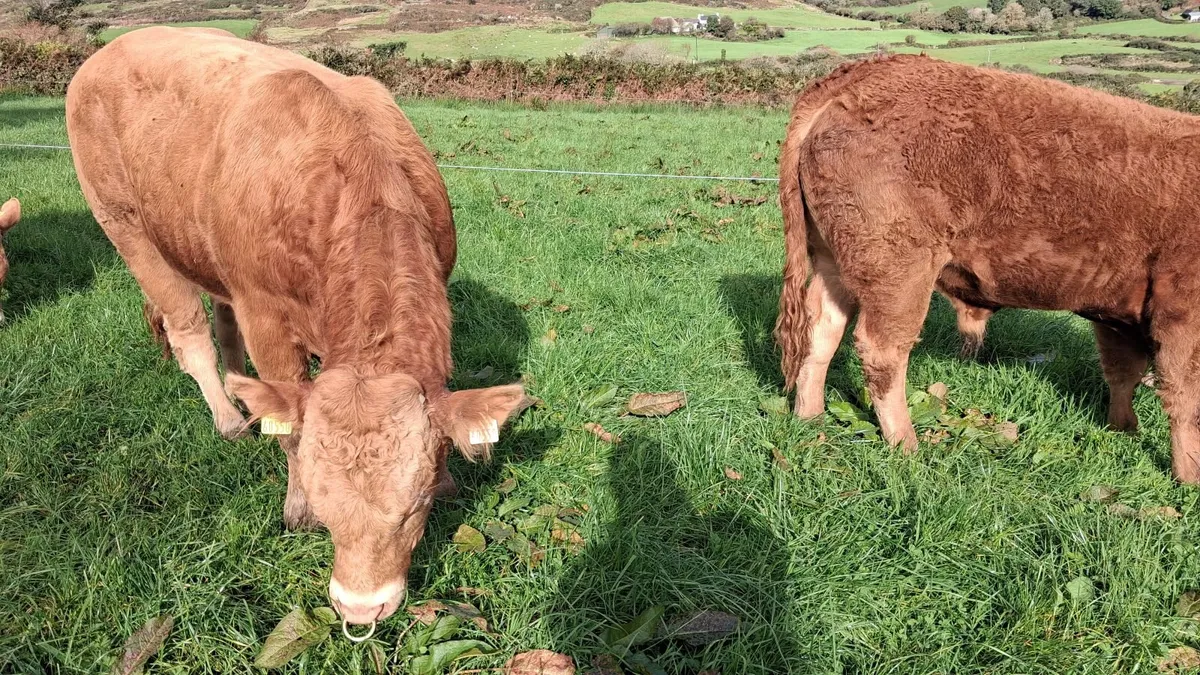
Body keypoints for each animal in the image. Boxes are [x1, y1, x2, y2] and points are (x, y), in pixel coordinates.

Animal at [65, 27, 528, 627]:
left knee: (224, 323)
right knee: (189, 331)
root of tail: (114, 46)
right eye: (327, 509)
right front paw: (296, 503)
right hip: (125, 225)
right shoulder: (266, 316)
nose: (361, 607)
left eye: (415, 507)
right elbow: (288, 426)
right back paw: (228, 418)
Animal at [775, 55, 1200, 484]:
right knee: (882, 350)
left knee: (821, 330)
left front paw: (1122, 430)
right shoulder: (1181, 313)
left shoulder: (1119, 313)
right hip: (898, 269)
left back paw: (810, 416)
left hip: (833, 260)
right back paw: (906, 444)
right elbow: (1184, 397)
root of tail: (861, 72)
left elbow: (1123, 372)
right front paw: (1189, 474)